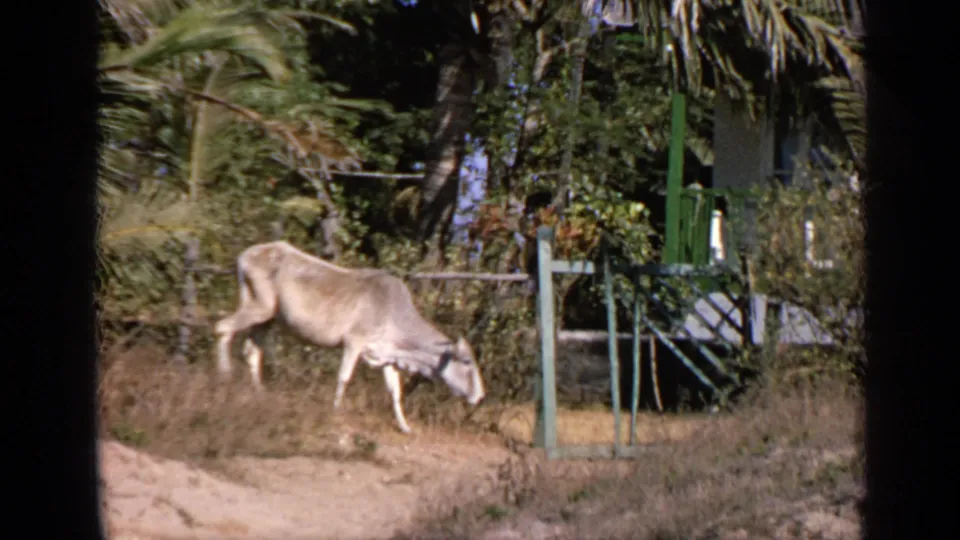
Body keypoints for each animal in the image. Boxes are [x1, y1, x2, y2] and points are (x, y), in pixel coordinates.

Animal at [213, 241, 486, 433]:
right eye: (467, 362)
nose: (480, 395)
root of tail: (245, 255)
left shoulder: (385, 355)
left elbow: (395, 390)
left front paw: (405, 426)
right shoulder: (354, 343)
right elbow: (344, 377)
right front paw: (336, 411)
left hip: (268, 319)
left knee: (251, 350)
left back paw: (259, 392)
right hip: (259, 306)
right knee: (223, 328)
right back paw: (224, 377)